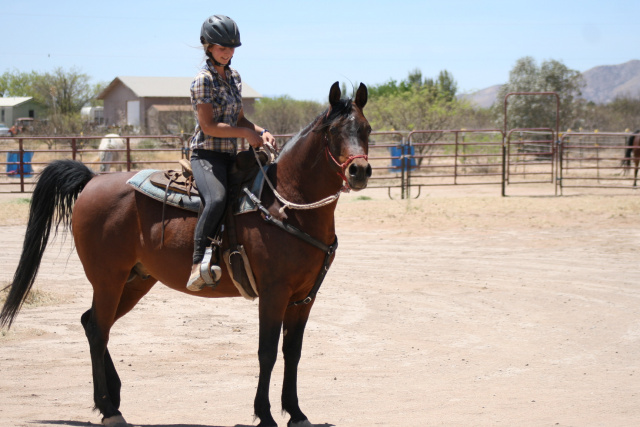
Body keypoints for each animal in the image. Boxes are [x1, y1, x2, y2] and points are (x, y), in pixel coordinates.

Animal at [0, 82, 372, 426]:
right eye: (333, 131)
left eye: (366, 128)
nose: (360, 171)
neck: (284, 203)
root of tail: (92, 180)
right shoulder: (274, 293)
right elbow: (266, 352)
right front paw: (264, 415)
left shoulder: (304, 297)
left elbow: (292, 352)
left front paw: (295, 412)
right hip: (108, 279)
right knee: (98, 329)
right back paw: (109, 409)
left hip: (135, 281)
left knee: (90, 322)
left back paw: (113, 397)